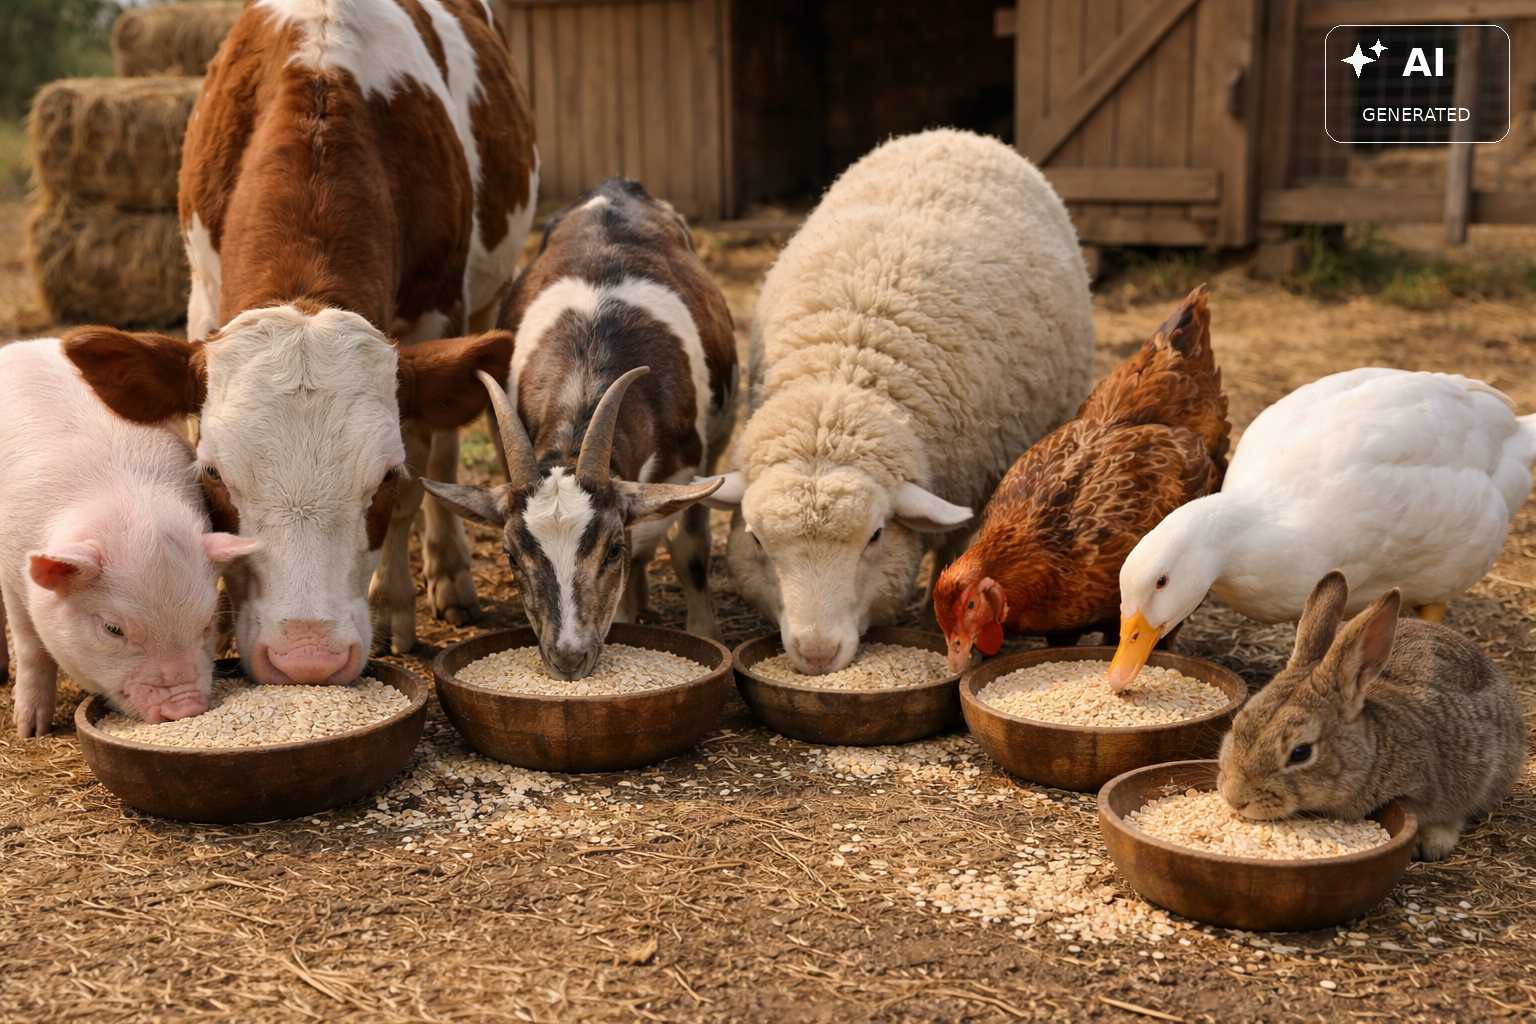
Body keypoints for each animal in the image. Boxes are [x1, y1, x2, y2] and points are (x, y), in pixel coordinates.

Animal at [65, 0, 538, 683]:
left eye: (384, 476)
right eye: (213, 476)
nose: (307, 657)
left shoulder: (435, 313)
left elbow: (419, 474)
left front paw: (392, 604)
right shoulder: (202, 298)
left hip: (476, 301)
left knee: (448, 447)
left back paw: (449, 572)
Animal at [706, 129, 1095, 674]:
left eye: (875, 536)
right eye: (757, 540)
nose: (818, 653)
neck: (843, 377)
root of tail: (954, 134)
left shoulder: (975, 480)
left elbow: (956, 554)